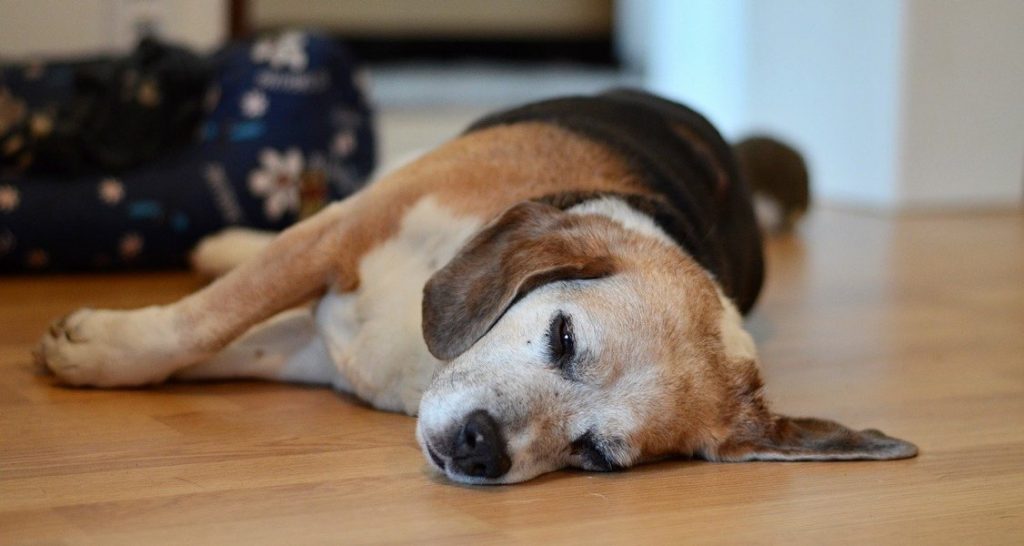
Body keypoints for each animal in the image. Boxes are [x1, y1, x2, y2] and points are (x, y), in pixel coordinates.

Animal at [34, 90, 921, 485]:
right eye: (563, 336)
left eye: (595, 456)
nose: (480, 448)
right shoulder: (342, 235)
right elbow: (204, 322)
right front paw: (109, 350)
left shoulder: (317, 349)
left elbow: (222, 341)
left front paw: (103, 351)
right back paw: (223, 241)